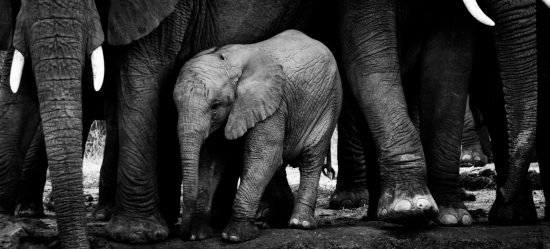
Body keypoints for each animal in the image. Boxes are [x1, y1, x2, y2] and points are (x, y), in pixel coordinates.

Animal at [175, 29, 342, 243]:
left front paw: (235, 236)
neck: (229, 62)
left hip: (329, 103)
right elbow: (210, 160)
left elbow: (263, 156)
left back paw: (300, 223)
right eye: (176, 106)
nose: (184, 233)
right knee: (279, 165)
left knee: (310, 157)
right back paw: (270, 221)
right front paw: (197, 234)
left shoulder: (272, 103)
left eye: (215, 106)